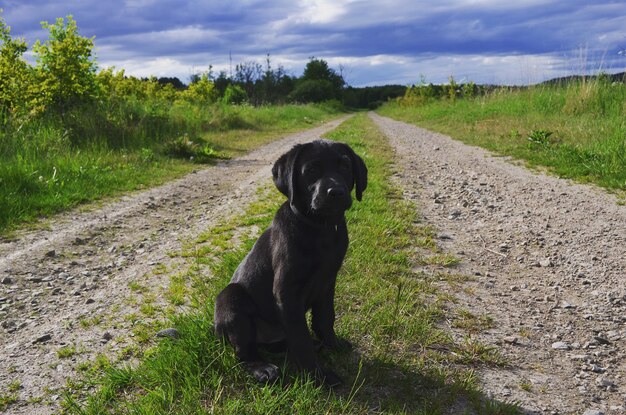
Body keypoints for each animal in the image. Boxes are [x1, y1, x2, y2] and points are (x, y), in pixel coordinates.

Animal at [213, 140, 366, 386]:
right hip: (230, 298)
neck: (321, 229)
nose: (336, 192)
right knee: (244, 353)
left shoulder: (328, 282)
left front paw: (332, 344)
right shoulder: (287, 291)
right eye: (311, 170)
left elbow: (326, 318)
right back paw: (263, 368)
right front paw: (318, 377)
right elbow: (300, 338)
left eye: (345, 166)